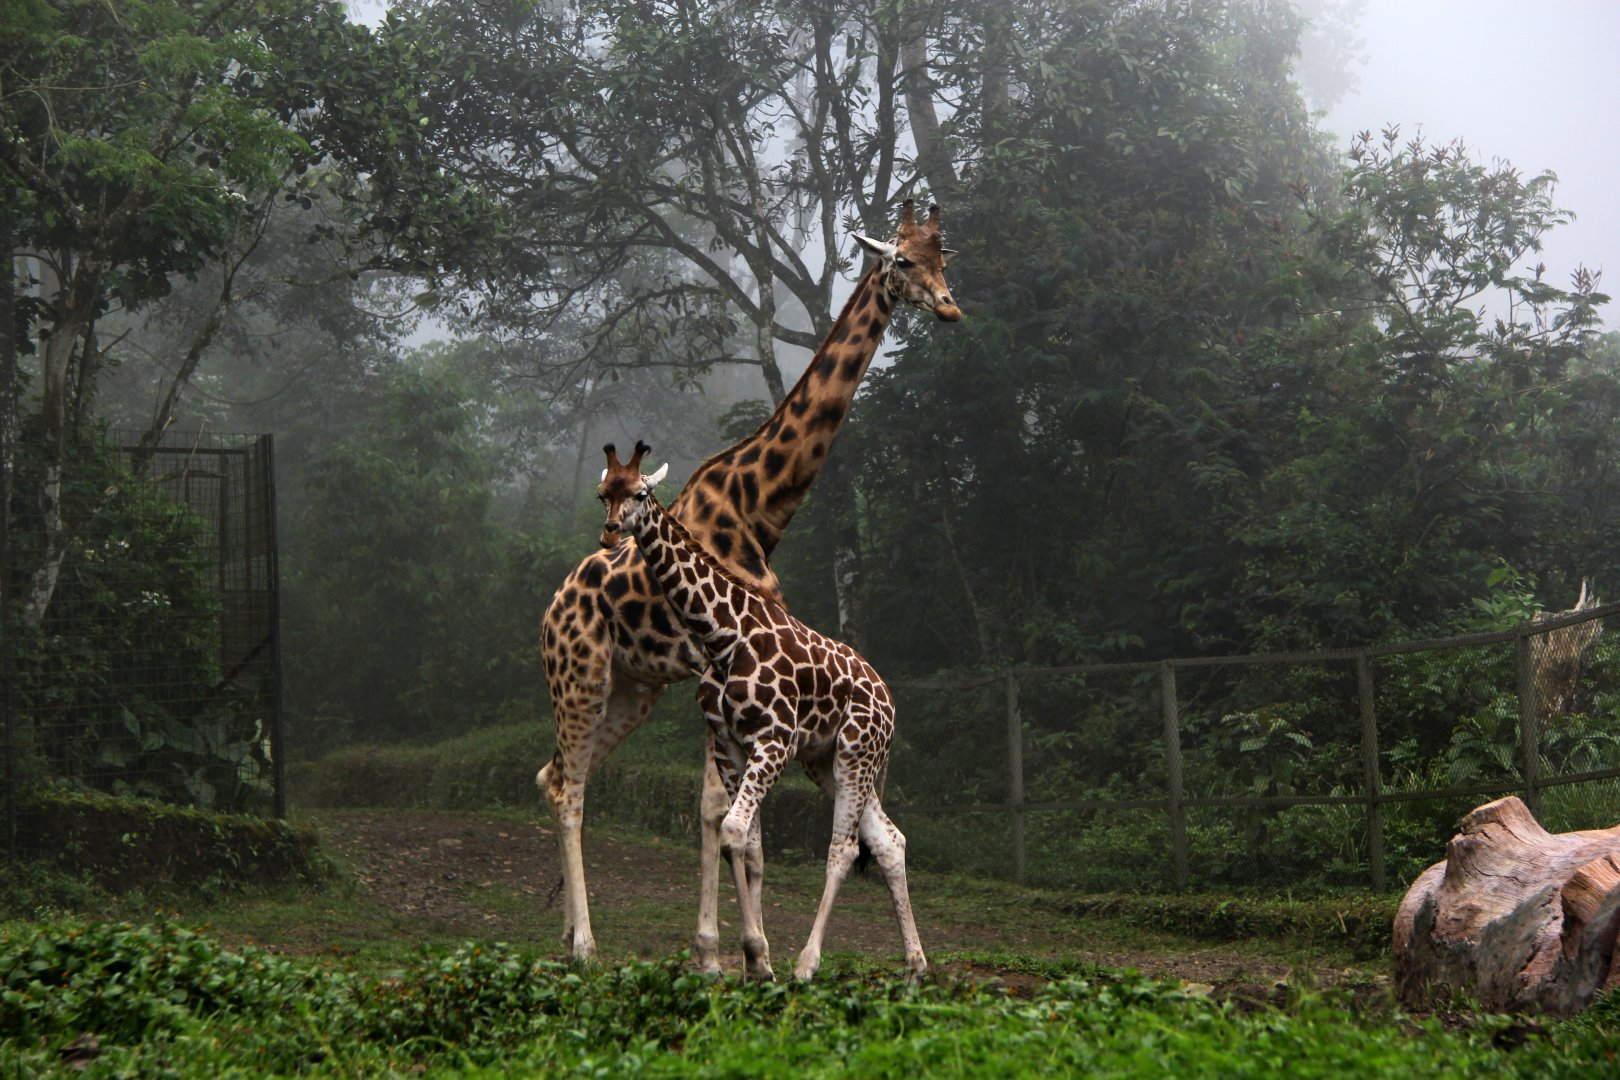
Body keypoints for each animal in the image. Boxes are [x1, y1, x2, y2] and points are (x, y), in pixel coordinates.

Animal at [597, 441, 925, 982]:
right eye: (604, 491)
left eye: (641, 493)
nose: (609, 529)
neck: (721, 635)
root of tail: (891, 702)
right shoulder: (731, 744)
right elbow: (743, 841)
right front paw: (756, 961)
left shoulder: (773, 741)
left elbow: (734, 831)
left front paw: (762, 959)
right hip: (825, 761)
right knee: (888, 840)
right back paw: (916, 966)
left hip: (857, 753)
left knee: (843, 848)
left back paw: (808, 965)